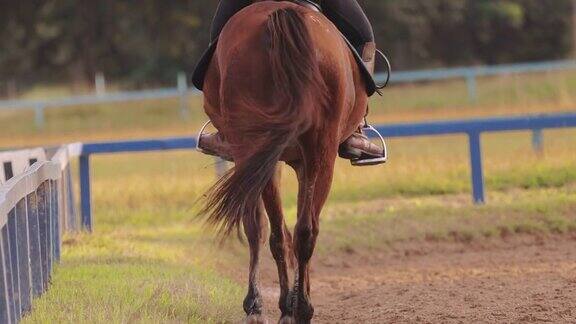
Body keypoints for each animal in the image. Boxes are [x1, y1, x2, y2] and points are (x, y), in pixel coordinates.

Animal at [200, 1, 366, 322]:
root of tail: (282, 14)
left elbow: (264, 226)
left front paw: (267, 302)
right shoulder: (289, 161)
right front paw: (292, 298)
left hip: (264, 150)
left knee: (277, 230)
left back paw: (280, 306)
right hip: (317, 152)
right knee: (302, 230)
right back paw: (299, 308)